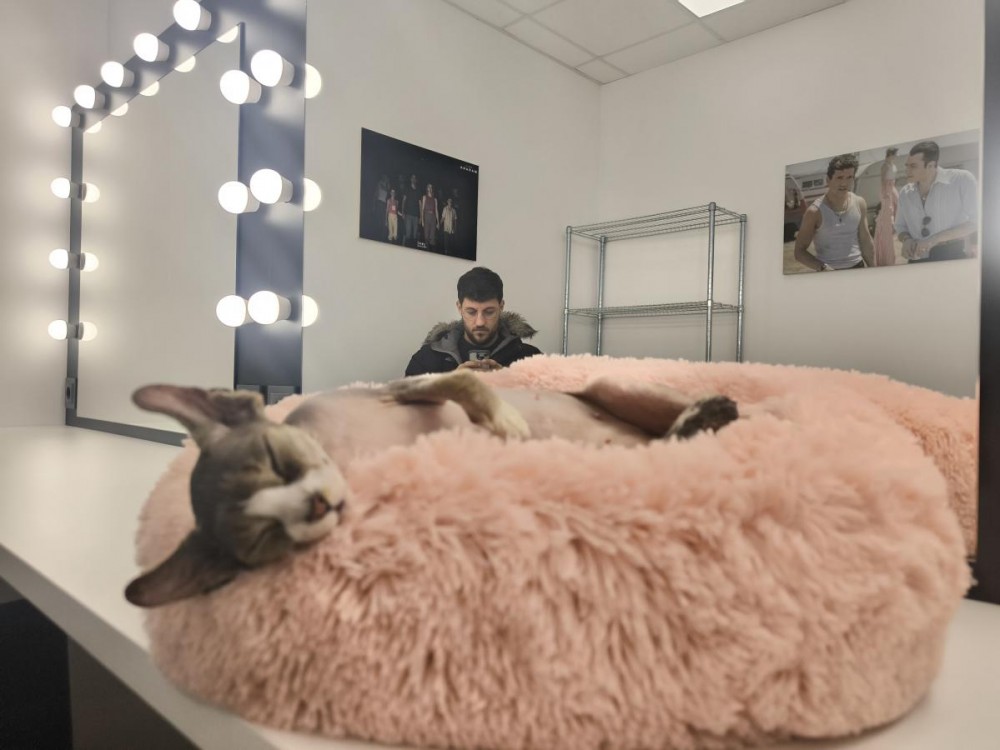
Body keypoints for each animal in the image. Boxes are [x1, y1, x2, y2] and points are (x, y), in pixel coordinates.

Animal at [125, 369, 738, 608]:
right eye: (264, 539)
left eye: (276, 460)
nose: (321, 503)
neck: (347, 455)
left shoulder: (404, 387)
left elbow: (463, 378)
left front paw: (505, 419)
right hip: (638, 447)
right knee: (667, 444)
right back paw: (694, 427)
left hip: (612, 384)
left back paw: (710, 411)